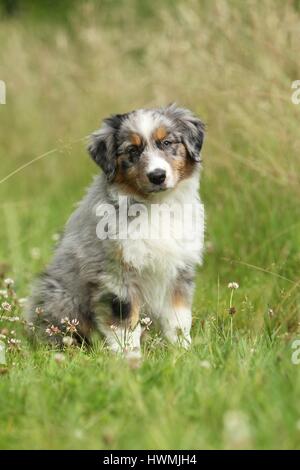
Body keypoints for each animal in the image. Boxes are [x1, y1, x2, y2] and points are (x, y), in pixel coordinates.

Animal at [27, 104, 205, 354]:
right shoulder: (116, 274)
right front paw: (130, 357)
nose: (157, 176)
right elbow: (125, 322)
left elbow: (178, 320)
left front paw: (183, 352)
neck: (155, 205)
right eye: (132, 150)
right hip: (61, 298)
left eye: (167, 143)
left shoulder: (179, 270)